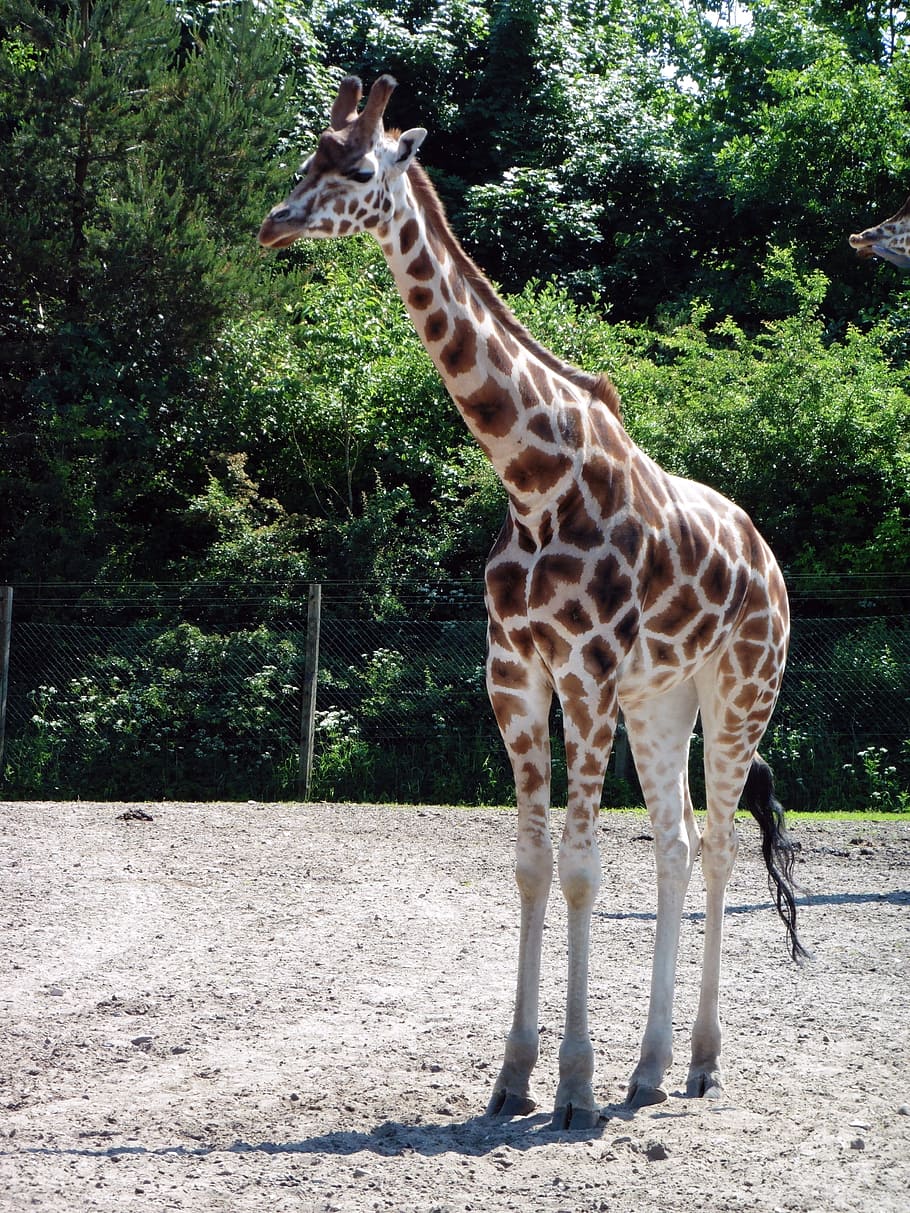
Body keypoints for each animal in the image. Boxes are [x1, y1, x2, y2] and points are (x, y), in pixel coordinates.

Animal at [259, 75, 810, 1130]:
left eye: (358, 167)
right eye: (305, 155)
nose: (275, 223)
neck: (530, 478)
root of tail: (769, 558)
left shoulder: (585, 672)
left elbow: (584, 868)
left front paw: (573, 1084)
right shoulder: (514, 673)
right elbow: (531, 864)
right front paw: (514, 1074)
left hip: (739, 692)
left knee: (722, 846)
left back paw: (702, 1062)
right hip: (661, 699)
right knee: (677, 845)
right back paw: (651, 1067)